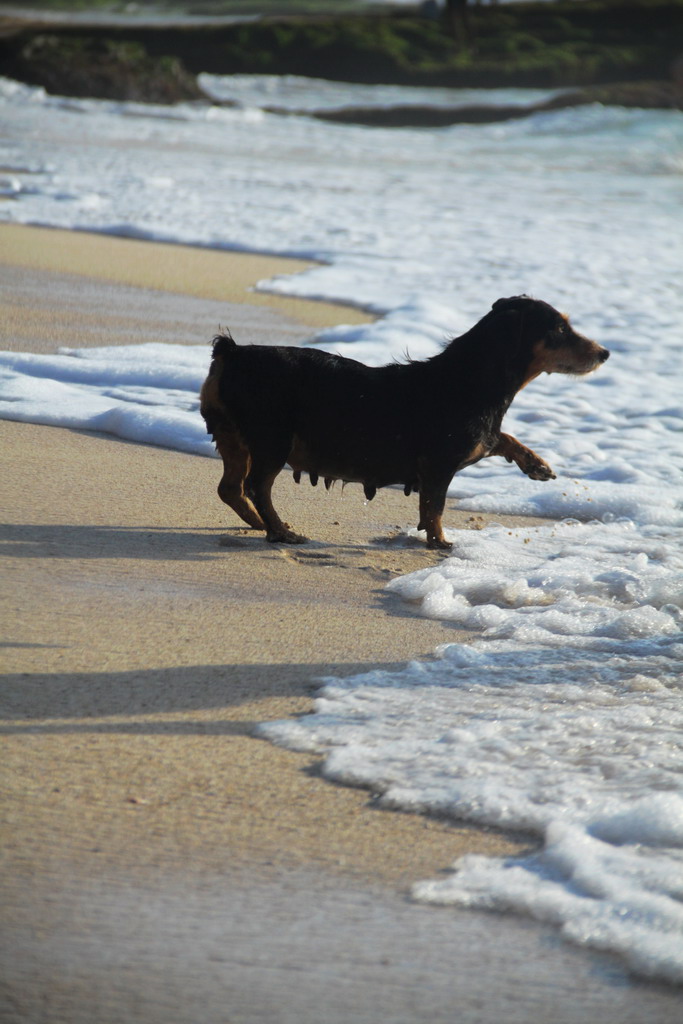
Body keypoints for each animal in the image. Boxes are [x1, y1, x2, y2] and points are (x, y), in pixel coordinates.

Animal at [198, 296, 610, 548]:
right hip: (273, 439)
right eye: (559, 329)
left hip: (232, 436)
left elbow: (503, 438)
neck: (470, 379)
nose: (605, 353)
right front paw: (439, 543)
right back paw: (279, 530)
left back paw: (257, 523)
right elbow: (434, 508)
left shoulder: (481, 438)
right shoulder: (439, 466)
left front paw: (536, 464)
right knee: (257, 487)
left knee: (230, 488)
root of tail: (232, 353)